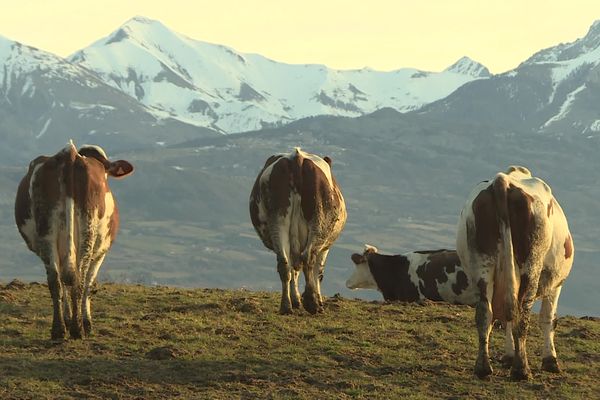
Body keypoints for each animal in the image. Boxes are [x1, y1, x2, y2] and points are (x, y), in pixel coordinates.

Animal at [14, 141, 134, 340]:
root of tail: (69, 154)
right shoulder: (100, 253)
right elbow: (89, 284)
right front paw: (85, 323)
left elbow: (63, 285)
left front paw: (68, 319)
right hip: (88, 229)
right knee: (79, 279)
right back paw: (78, 330)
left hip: (47, 230)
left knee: (56, 280)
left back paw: (59, 330)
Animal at [248, 148, 346, 314]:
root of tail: (297, 158)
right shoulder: (325, 247)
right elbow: (318, 273)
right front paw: (317, 301)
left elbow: (295, 270)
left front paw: (296, 301)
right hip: (318, 221)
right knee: (307, 258)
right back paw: (312, 303)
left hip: (278, 220)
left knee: (285, 264)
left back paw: (286, 306)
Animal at [458, 166, 576, 382]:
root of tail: (503, 180)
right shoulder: (555, 284)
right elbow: (548, 318)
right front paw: (550, 361)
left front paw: (508, 356)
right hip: (531, 267)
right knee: (521, 317)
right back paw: (521, 370)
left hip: (481, 266)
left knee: (485, 315)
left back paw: (483, 368)